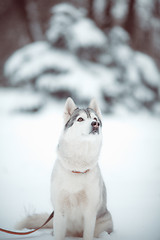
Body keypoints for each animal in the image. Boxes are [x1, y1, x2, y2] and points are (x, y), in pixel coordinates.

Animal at [17, 98, 112, 240]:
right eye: (80, 119)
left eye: (95, 118)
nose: (95, 124)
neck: (77, 168)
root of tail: (76, 234)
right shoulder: (60, 210)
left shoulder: (90, 212)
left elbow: (88, 234)